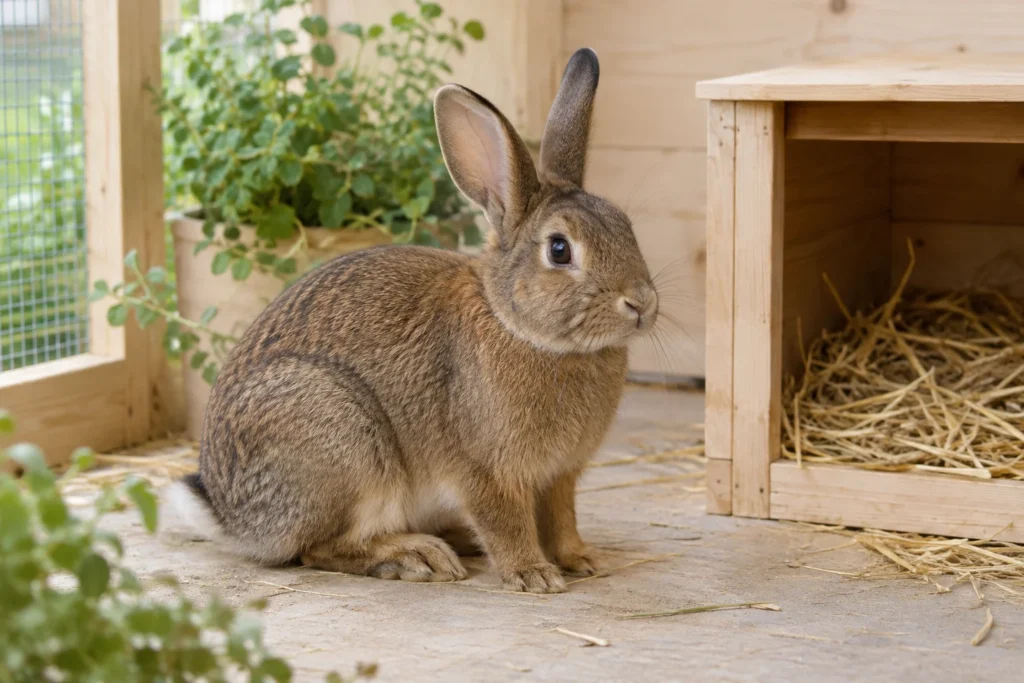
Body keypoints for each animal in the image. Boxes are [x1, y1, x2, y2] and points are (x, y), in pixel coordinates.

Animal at [168, 47, 659, 594]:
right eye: (559, 250)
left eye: (626, 227)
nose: (641, 303)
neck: (518, 326)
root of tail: (230, 516)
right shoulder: (485, 473)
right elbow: (505, 523)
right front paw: (533, 575)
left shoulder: (559, 476)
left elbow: (563, 519)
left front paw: (583, 560)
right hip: (342, 445)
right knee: (320, 549)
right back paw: (417, 557)